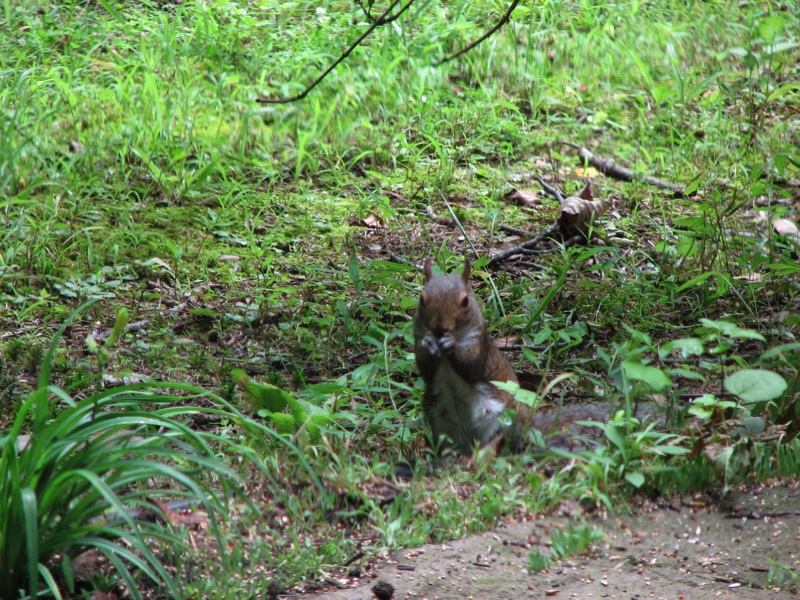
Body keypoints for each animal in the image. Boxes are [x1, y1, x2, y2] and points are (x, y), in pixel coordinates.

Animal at [416, 254, 528, 454]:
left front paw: (451, 344)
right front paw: (428, 342)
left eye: (465, 301)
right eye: (421, 299)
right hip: (437, 421)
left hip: (511, 417)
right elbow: (427, 372)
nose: (439, 328)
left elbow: (471, 366)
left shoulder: (478, 343)